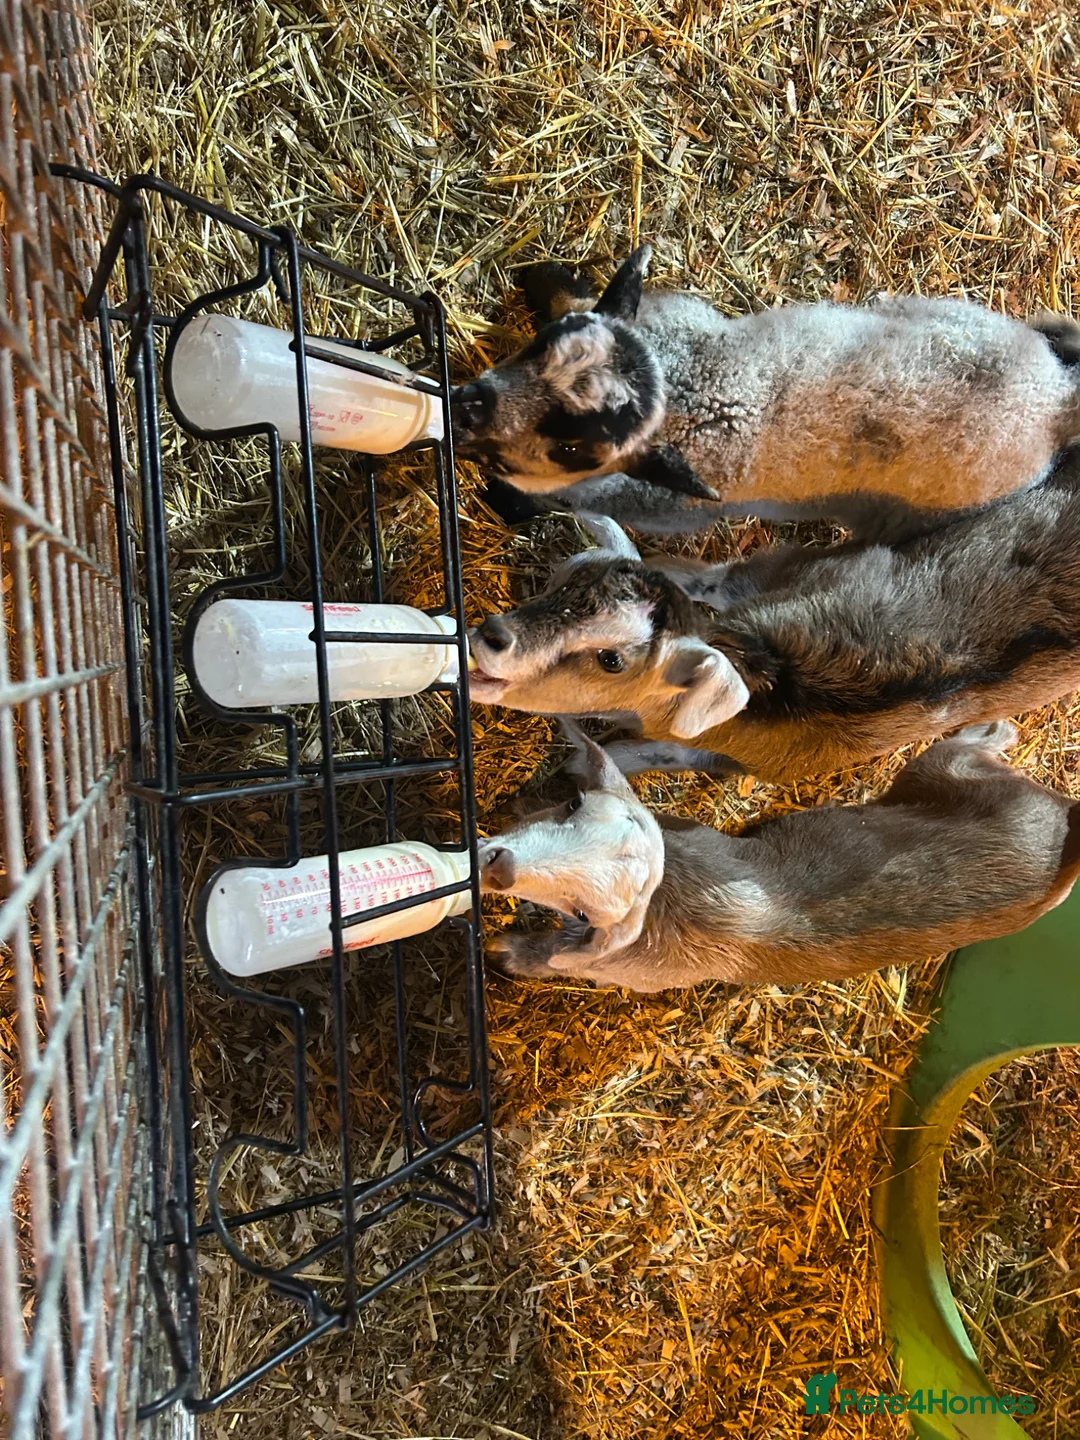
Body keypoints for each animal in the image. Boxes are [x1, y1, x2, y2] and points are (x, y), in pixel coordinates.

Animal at [452, 245, 1080, 542]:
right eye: (540, 345)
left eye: (574, 450)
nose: (467, 407)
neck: (685, 386)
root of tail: (1051, 403)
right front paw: (545, 282)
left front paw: (507, 500)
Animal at [479, 722, 1080, 992]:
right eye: (573, 805)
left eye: (586, 909)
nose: (495, 862)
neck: (674, 891)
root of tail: (1068, 822)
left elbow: (552, 957)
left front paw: (505, 951)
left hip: (943, 773)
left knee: (963, 749)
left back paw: (992, 726)